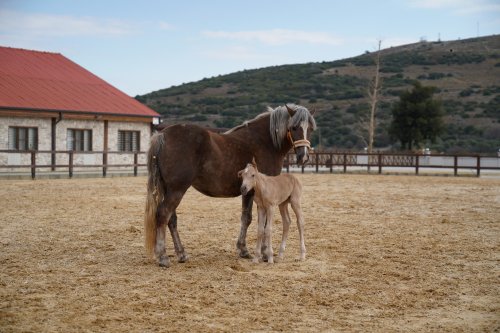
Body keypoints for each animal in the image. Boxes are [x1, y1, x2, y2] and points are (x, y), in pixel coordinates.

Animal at [145, 102, 316, 266]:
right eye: (294, 127)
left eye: (310, 129)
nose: (304, 157)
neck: (264, 141)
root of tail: (163, 135)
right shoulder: (256, 194)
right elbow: (255, 221)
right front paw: (260, 252)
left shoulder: (251, 193)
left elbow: (248, 219)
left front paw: (245, 250)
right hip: (177, 190)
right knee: (163, 215)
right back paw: (163, 256)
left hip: (169, 190)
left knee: (171, 219)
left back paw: (181, 254)